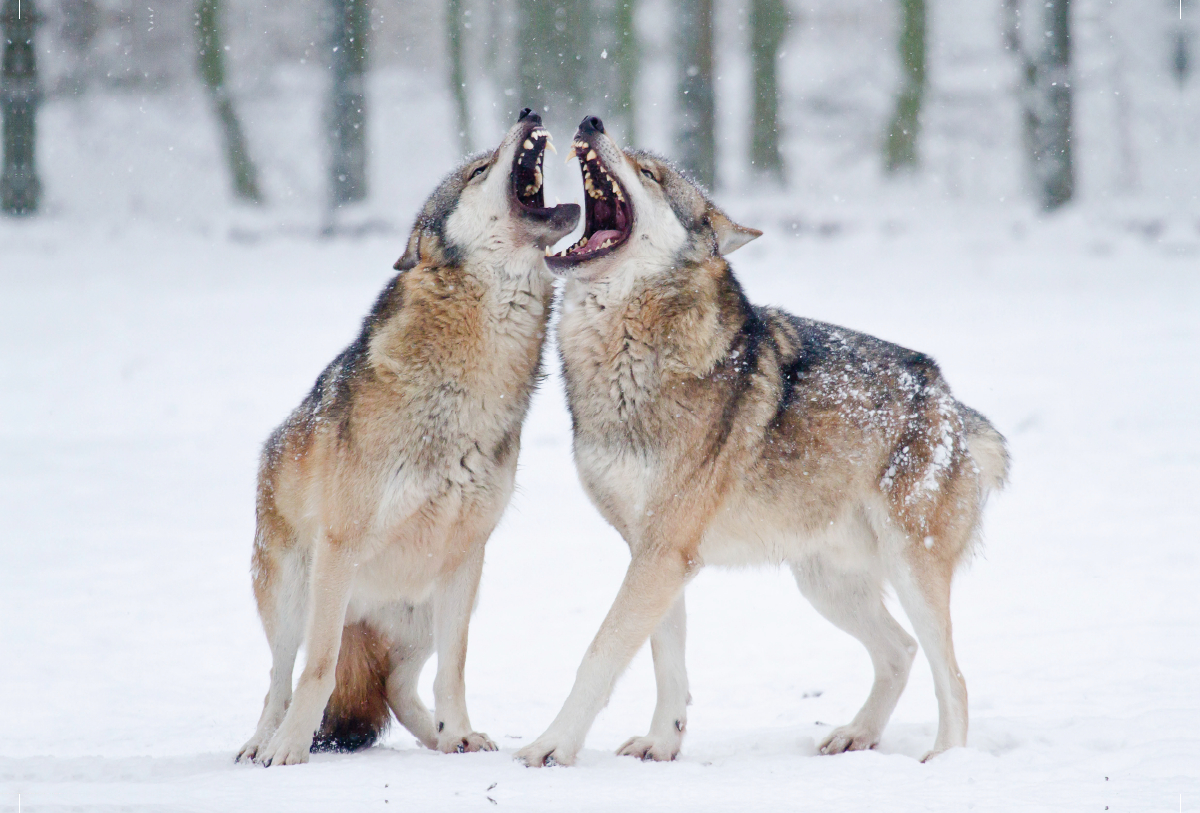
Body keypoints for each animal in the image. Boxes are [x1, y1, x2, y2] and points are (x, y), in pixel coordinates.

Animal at [235, 111, 580, 767]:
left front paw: (461, 732)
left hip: (425, 609)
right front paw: (289, 748)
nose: (528, 112)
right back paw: (262, 743)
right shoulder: (339, 549)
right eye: (477, 169)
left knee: (396, 686)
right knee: (278, 678)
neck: (466, 383)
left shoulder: (466, 556)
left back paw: (442, 738)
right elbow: (316, 672)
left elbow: (455, 671)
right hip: (293, 593)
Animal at [518, 116, 1012, 772]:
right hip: (824, 586)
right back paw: (856, 735)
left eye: (651, 173)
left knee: (951, 675)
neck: (623, 355)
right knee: (900, 652)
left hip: (911, 570)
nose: (591, 122)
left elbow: (600, 654)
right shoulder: (653, 553)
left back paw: (946, 760)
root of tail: (947, 399)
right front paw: (661, 743)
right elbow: (665, 662)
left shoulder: (663, 552)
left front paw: (551, 746)